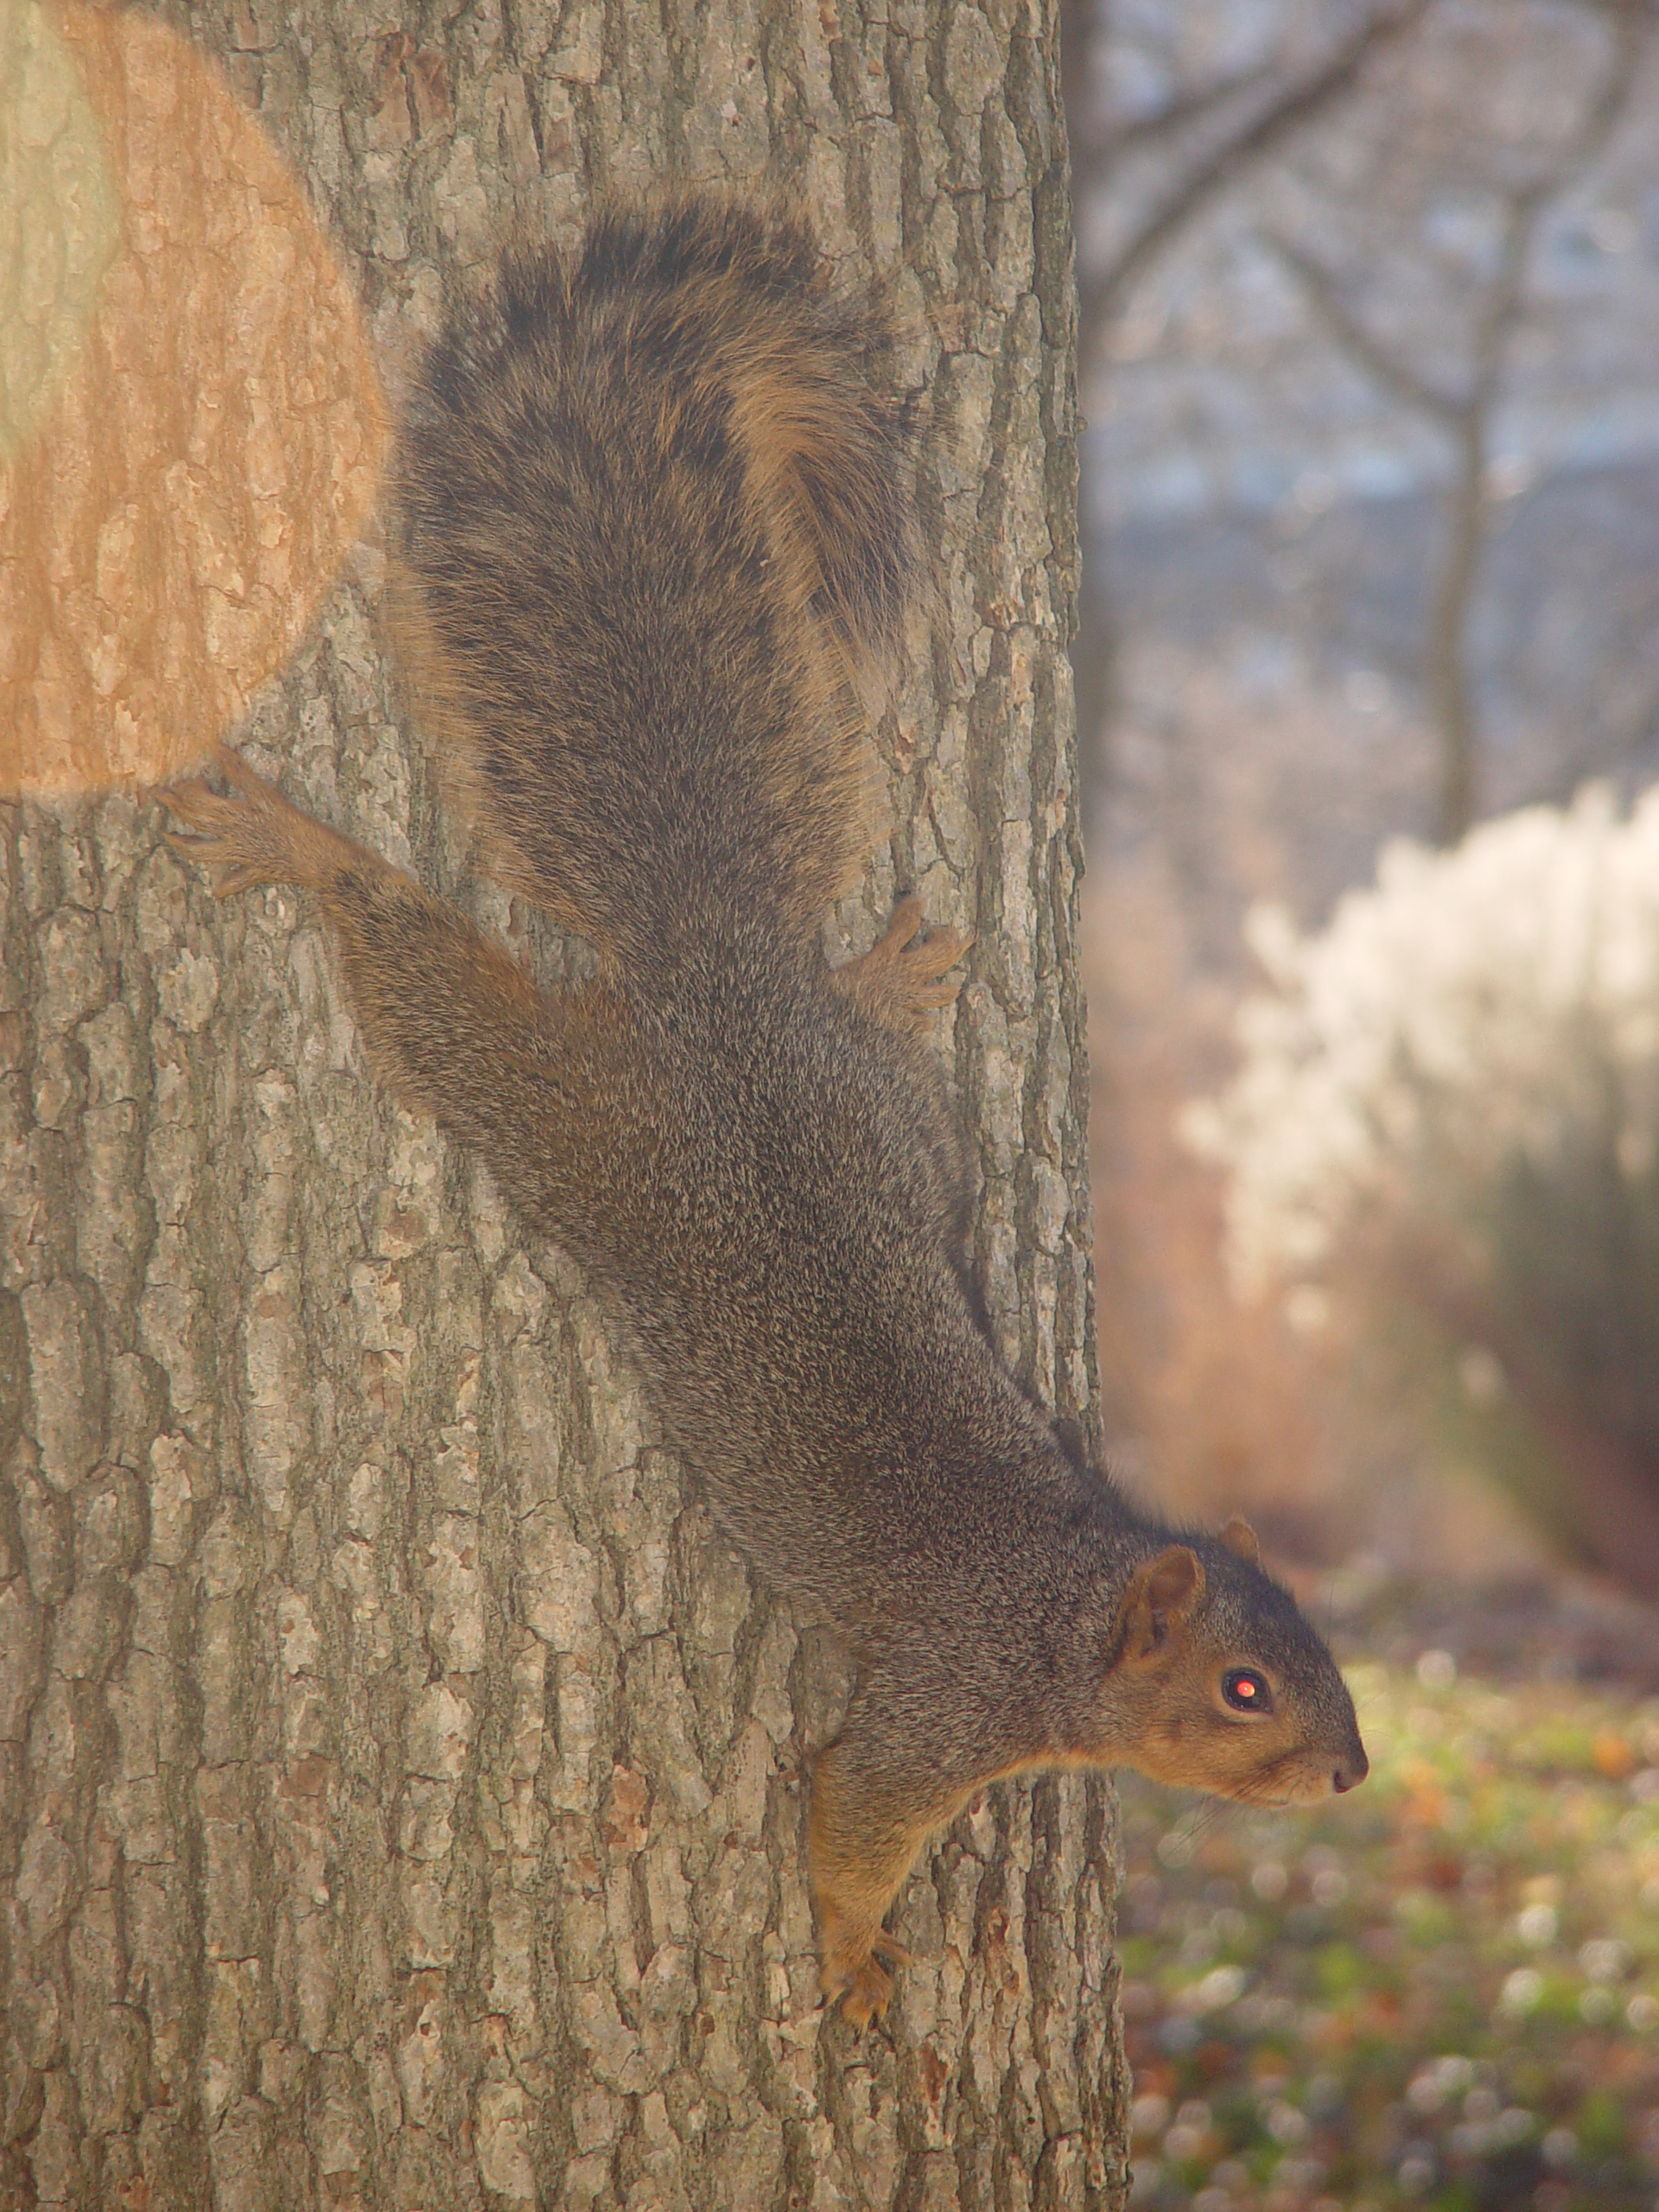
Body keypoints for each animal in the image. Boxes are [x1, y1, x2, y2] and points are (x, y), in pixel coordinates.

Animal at [162, 199, 1371, 2025]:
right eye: (1244, 1689)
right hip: (574, 1119)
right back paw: (301, 848)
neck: (1059, 1597)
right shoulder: (931, 1714)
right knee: (432, 991)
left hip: (889, 1127)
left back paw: (891, 974)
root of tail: (715, 973)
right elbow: (847, 1824)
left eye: (1317, 1638)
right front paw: (855, 1963)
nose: (1352, 1773)